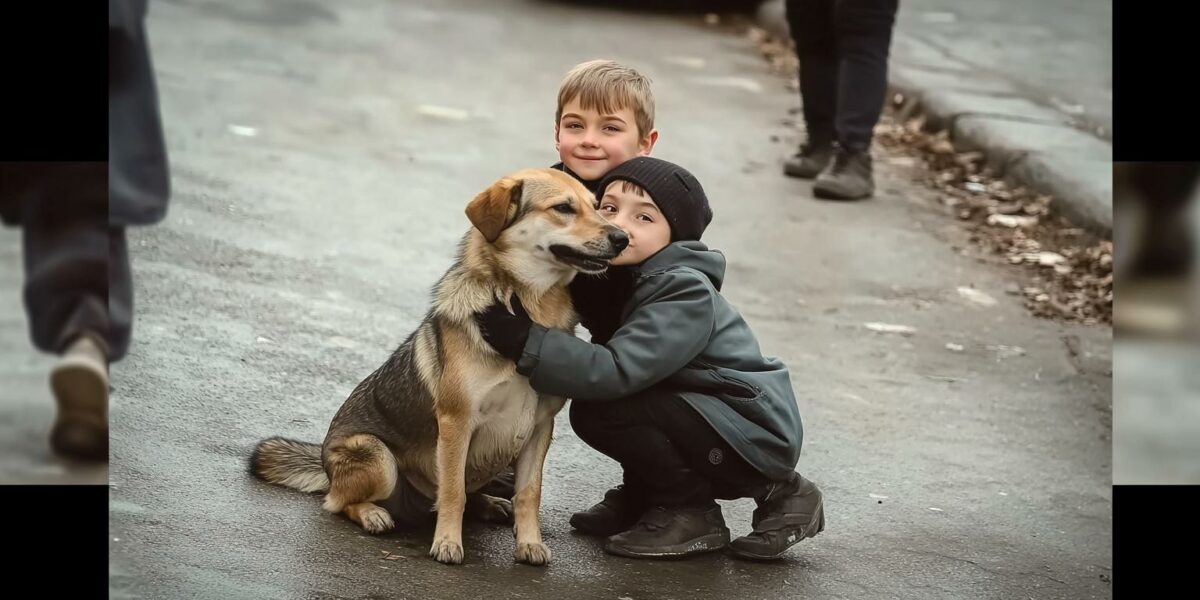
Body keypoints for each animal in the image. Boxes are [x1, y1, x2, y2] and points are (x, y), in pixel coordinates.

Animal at [249, 166, 633, 564]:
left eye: (598, 206)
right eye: (563, 208)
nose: (623, 238)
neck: (529, 309)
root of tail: (324, 464)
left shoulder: (540, 427)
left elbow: (529, 493)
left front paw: (529, 543)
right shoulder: (456, 422)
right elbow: (452, 491)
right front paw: (447, 542)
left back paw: (489, 504)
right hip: (378, 458)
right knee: (338, 502)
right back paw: (373, 514)